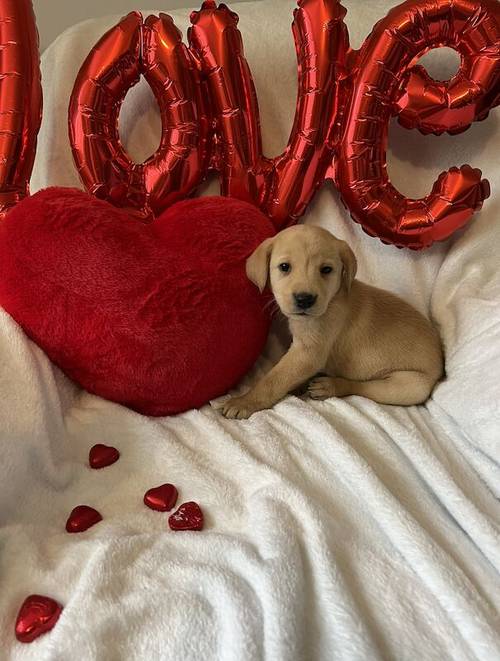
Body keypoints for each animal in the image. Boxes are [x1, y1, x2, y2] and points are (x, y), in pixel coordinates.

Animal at [221, 222, 444, 418]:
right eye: (284, 267)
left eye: (326, 270)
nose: (304, 299)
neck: (332, 299)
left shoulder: (308, 352)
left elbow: (274, 379)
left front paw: (244, 401)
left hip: (410, 385)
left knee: (360, 387)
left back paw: (329, 385)